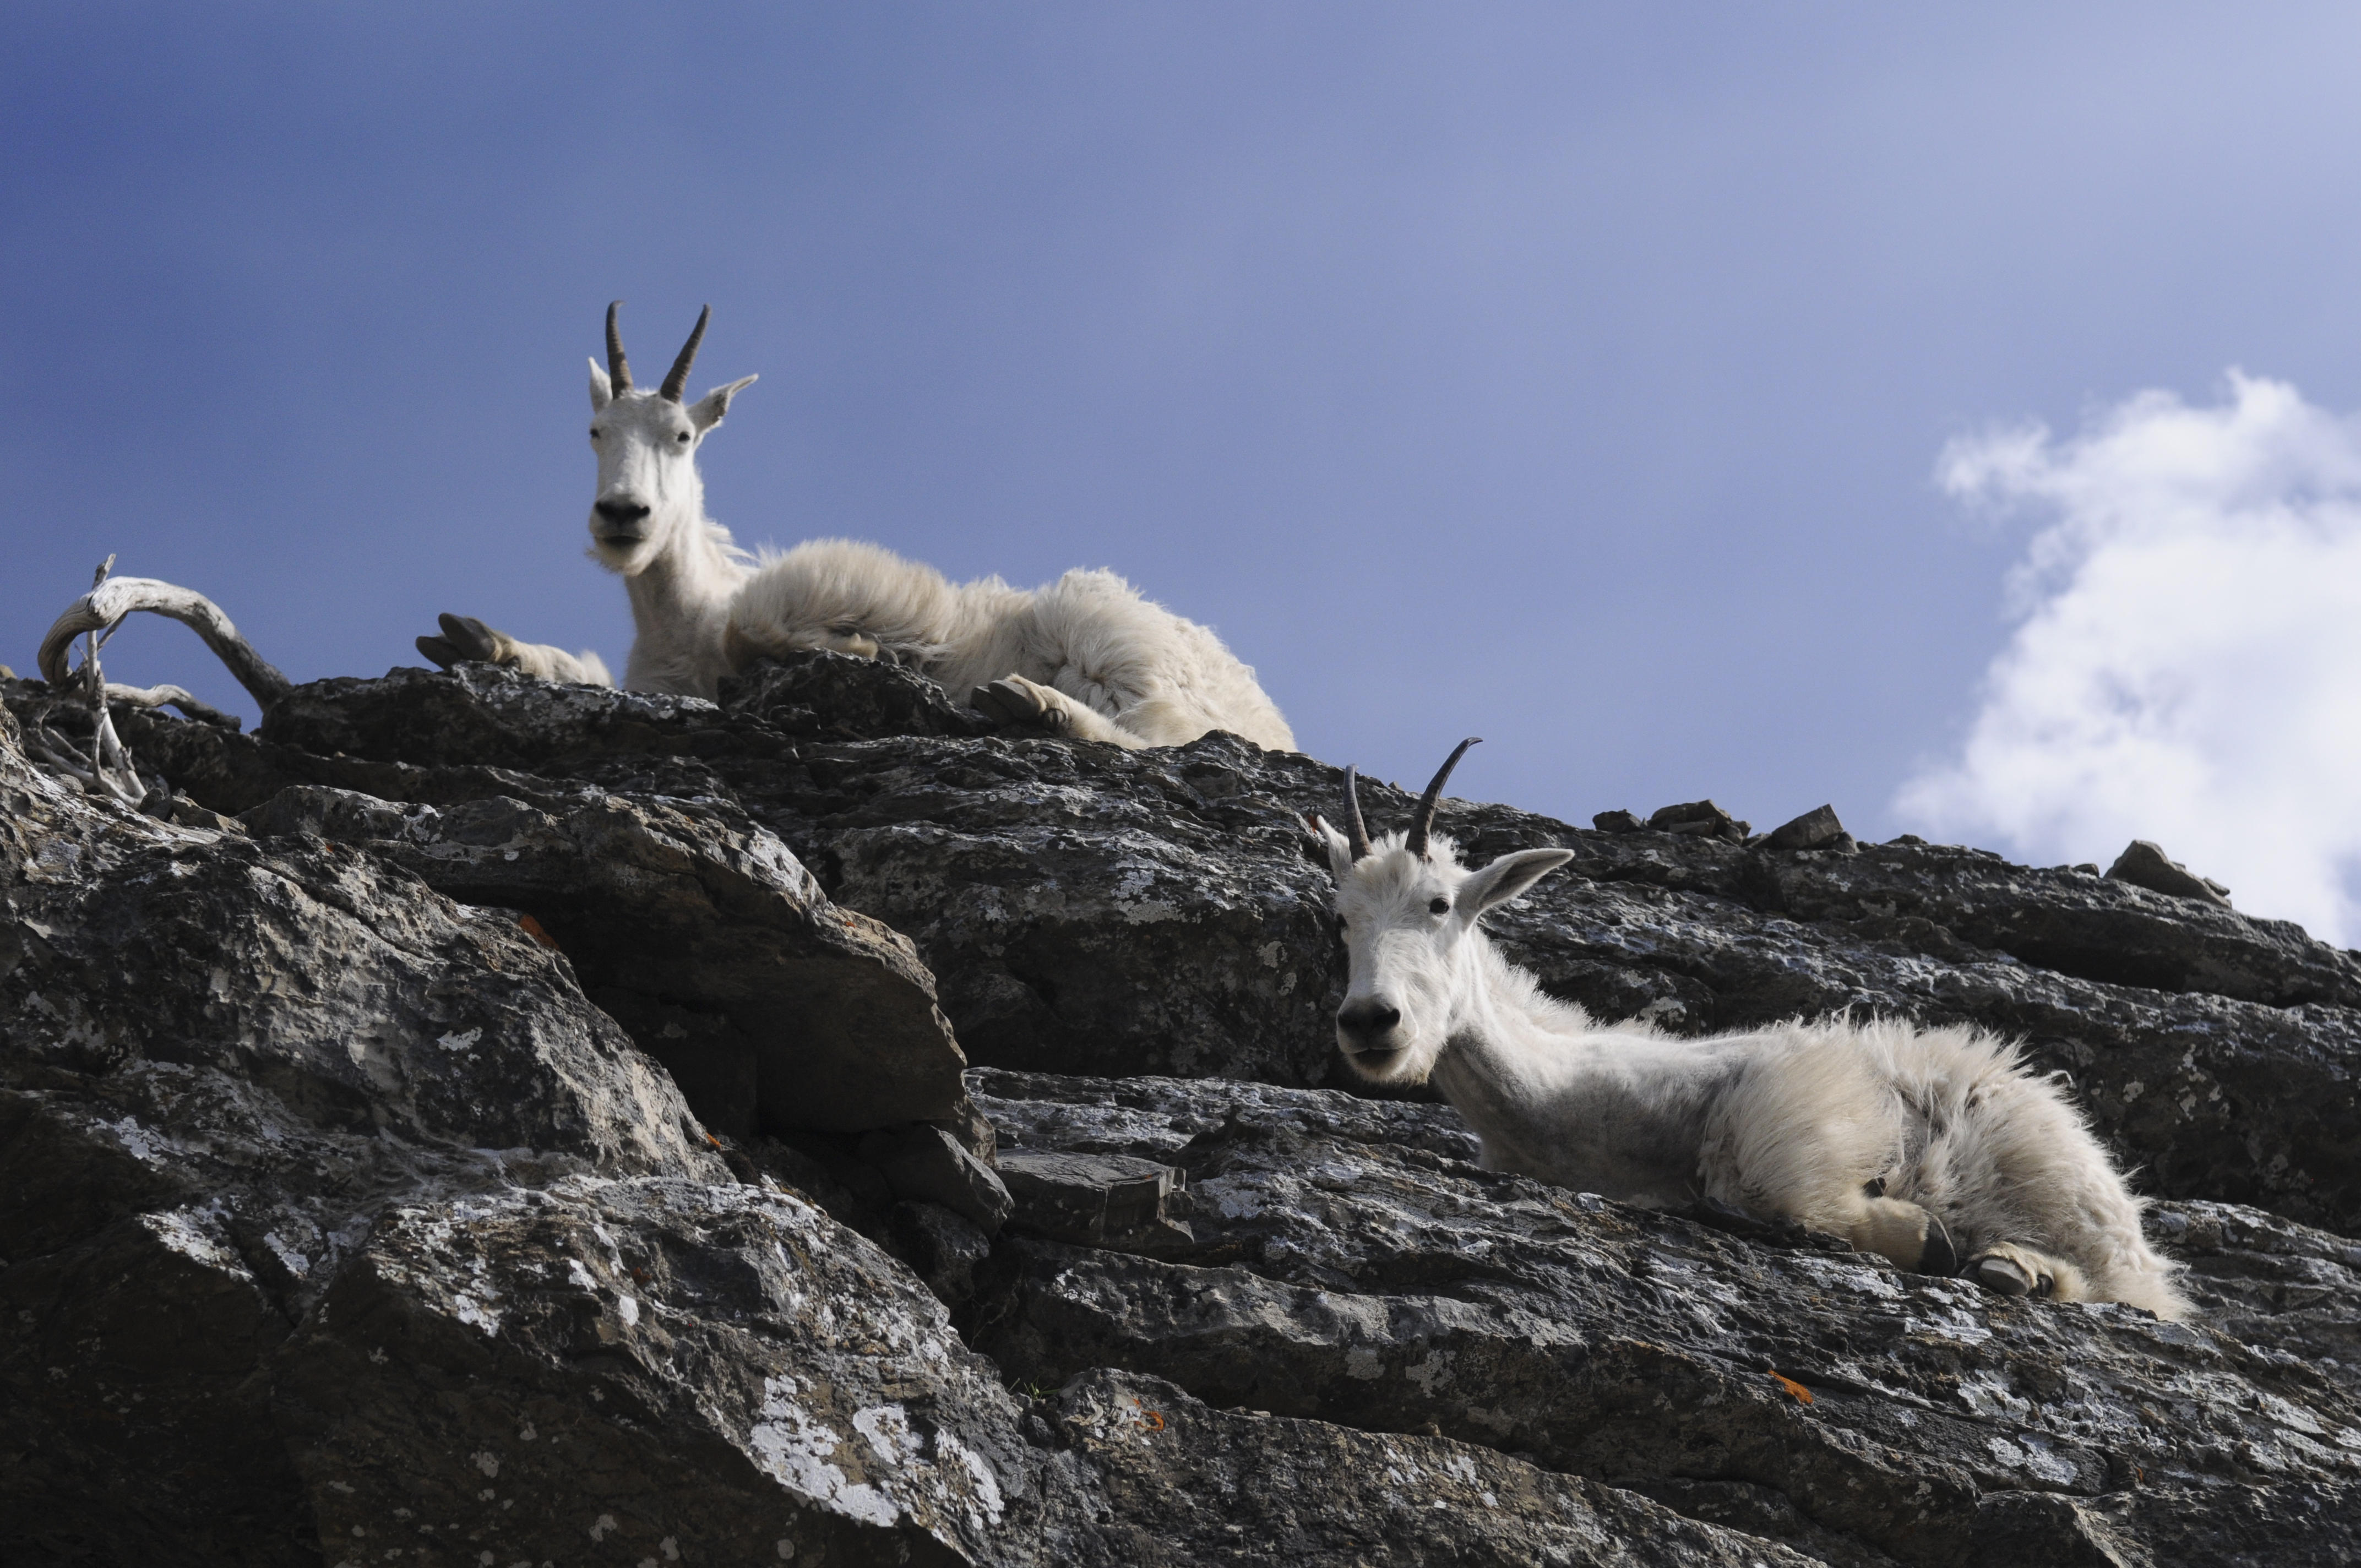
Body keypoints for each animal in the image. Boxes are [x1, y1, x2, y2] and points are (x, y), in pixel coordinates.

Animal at [408, 302, 1293, 755]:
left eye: (684, 437)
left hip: (1105, 628)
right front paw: (478, 640)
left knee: (1169, 734)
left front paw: (861, 649)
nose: (622, 516)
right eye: (595, 432)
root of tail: (1272, 714)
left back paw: (1032, 702)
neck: (682, 621)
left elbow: (767, 628)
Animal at [1303, 741, 2182, 1313]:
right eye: (1341, 920)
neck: (1564, 1103)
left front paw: (1920, 1231)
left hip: (2045, 1179)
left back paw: (2014, 1267)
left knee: (2132, 1287)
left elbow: (1761, 1186)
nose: (1370, 1021)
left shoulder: (1781, 1104)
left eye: (1439, 904)